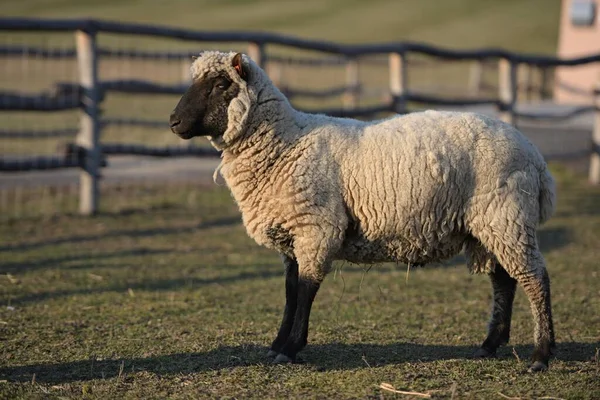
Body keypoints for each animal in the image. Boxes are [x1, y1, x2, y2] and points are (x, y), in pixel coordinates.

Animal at [169, 50, 556, 372]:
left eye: (221, 84)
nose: (173, 121)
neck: (286, 143)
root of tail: (535, 156)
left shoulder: (316, 227)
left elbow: (306, 290)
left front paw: (291, 347)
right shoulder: (293, 234)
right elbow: (290, 290)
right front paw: (278, 343)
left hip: (506, 215)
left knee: (535, 278)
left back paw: (540, 355)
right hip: (489, 224)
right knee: (504, 280)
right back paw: (490, 344)